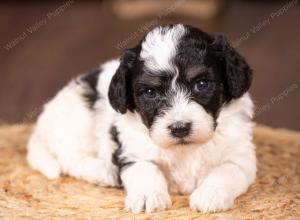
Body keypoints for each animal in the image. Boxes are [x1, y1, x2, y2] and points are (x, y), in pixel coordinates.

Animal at [27, 24, 255, 213]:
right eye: (150, 92)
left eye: (201, 84)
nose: (180, 128)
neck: (184, 150)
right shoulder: (132, 150)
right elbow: (146, 169)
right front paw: (148, 196)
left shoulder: (241, 154)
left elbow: (226, 170)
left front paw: (210, 195)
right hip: (77, 123)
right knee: (69, 158)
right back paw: (104, 172)